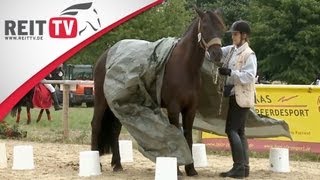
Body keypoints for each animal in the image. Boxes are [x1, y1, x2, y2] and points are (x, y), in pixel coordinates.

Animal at [90, 7, 225, 176]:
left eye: (221, 27)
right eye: (205, 27)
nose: (217, 55)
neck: (185, 67)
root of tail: (104, 56)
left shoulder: (191, 109)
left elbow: (188, 136)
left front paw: (191, 169)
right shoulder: (174, 108)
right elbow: (177, 134)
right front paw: (177, 169)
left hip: (118, 103)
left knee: (115, 130)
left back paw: (118, 165)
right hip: (101, 101)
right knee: (96, 125)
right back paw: (97, 164)